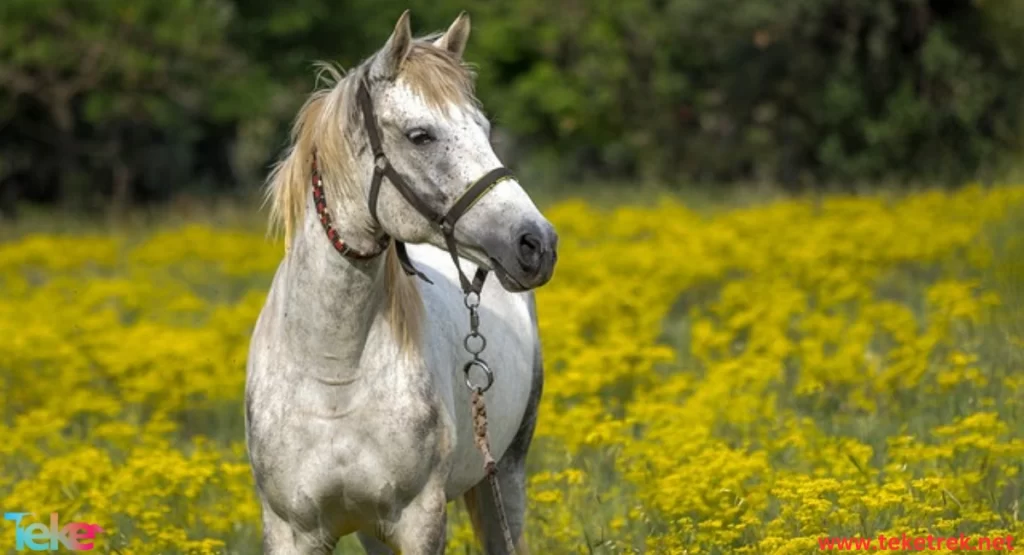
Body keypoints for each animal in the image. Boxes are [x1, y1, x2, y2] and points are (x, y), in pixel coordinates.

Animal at [242, 9, 557, 555]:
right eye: (420, 135)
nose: (536, 243)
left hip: (506, 473)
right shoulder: (291, 529)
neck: (333, 375)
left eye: (484, 128)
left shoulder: (419, 520)